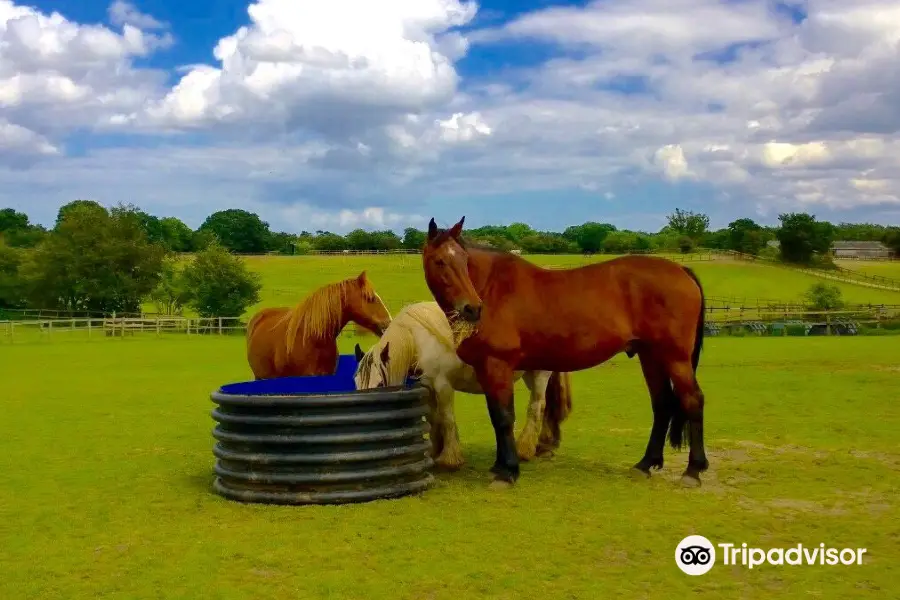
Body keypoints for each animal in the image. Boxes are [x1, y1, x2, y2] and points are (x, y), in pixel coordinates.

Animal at [352, 302, 568, 472]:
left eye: (380, 384)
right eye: (356, 383)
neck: (419, 338)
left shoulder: (443, 384)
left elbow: (447, 419)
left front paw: (450, 458)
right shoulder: (428, 385)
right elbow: (434, 419)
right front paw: (435, 450)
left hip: (539, 374)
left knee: (537, 406)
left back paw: (525, 449)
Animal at [422, 218, 712, 490]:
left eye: (464, 261)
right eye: (440, 261)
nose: (472, 308)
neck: (493, 288)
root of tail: (681, 270)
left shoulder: (497, 366)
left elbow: (504, 418)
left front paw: (508, 472)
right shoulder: (486, 370)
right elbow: (496, 416)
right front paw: (500, 466)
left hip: (675, 358)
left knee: (692, 400)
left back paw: (693, 471)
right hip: (650, 356)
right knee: (662, 403)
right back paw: (645, 464)